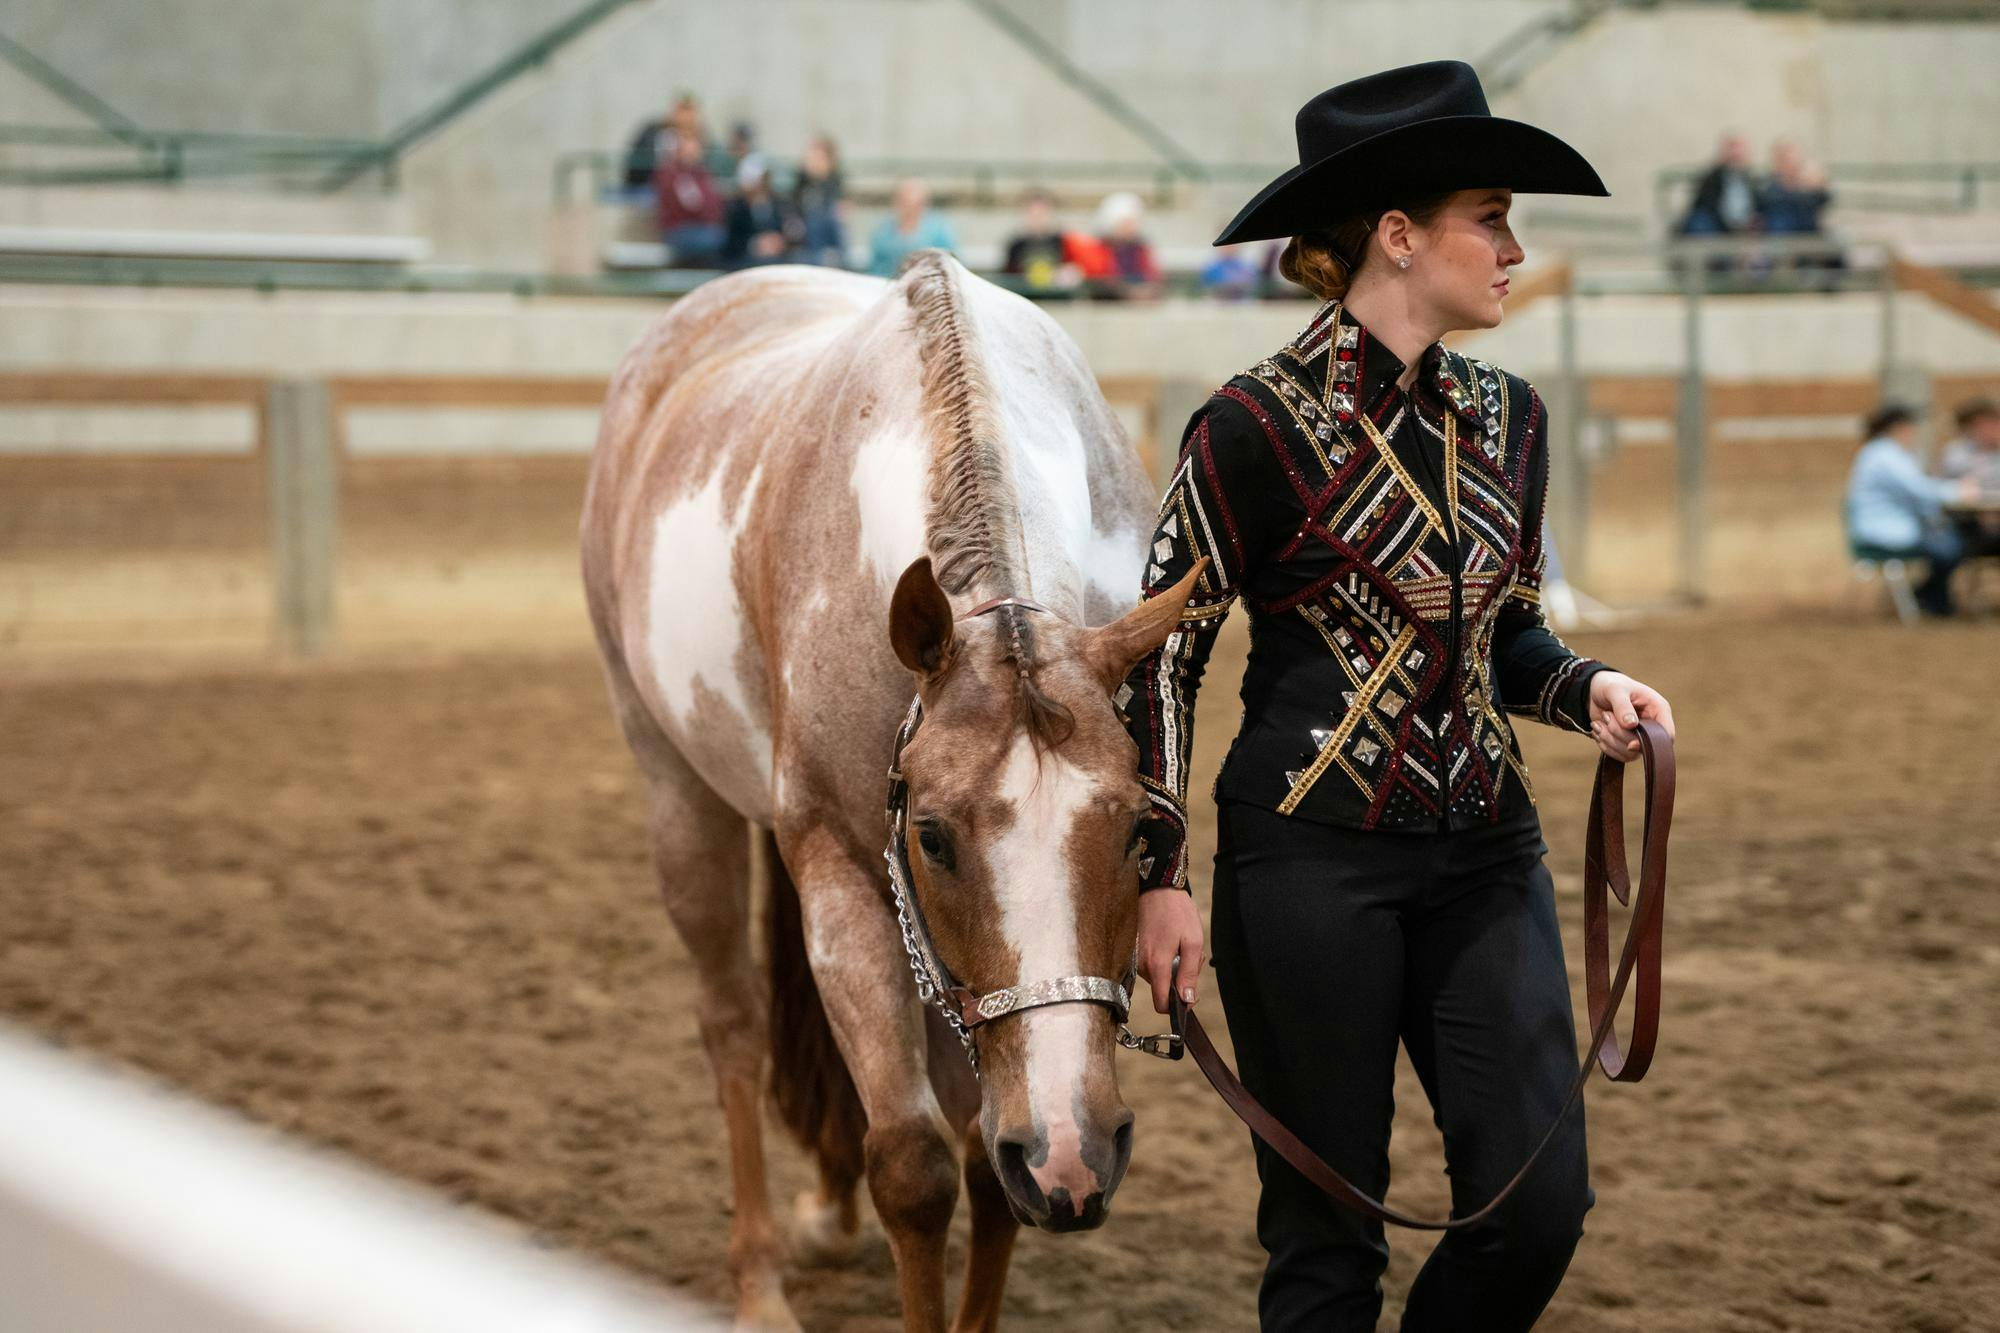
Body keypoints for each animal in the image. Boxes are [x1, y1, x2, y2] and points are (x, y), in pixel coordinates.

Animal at [580, 250, 1203, 1331]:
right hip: (679, 794)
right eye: (937, 837)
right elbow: (913, 1167)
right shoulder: (844, 872)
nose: (1076, 1154)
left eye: (1136, 832)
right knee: (733, 1024)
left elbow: (989, 1165)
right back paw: (759, 1281)